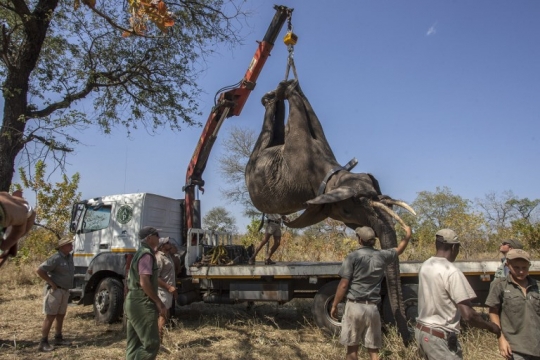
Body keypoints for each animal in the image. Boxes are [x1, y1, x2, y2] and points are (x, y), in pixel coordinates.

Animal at [247, 79, 416, 344]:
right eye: (356, 202)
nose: (407, 338)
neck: (332, 175)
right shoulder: (300, 158)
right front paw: (289, 87)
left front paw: (289, 87)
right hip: (255, 162)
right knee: (267, 135)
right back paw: (272, 96)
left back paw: (271, 96)